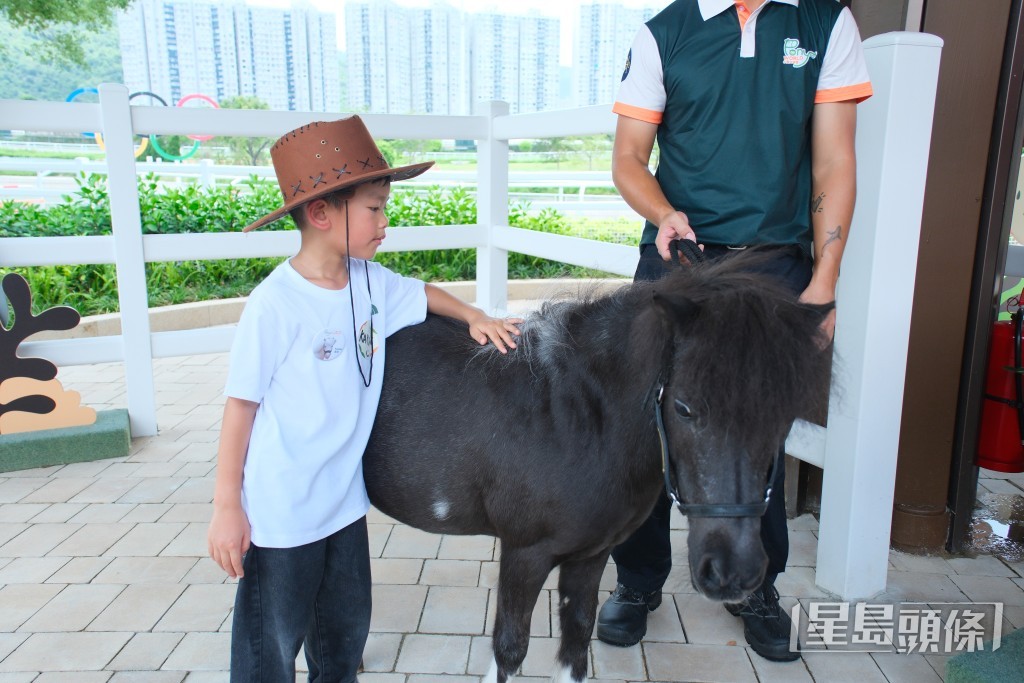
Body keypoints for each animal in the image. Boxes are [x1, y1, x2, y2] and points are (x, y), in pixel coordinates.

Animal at [363, 250, 832, 682]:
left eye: (785, 414)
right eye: (683, 407)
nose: (732, 572)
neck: (576, 415)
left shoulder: (591, 555)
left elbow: (576, 640)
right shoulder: (523, 553)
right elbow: (510, 649)